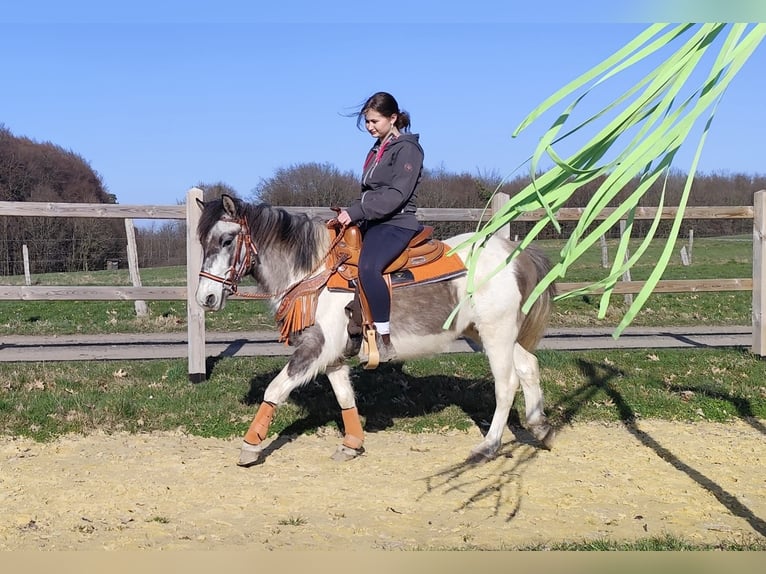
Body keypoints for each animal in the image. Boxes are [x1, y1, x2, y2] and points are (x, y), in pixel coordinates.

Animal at [194, 194, 557, 467]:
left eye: (226, 240)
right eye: (201, 241)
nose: (205, 298)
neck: (314, 271)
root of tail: (514, 252)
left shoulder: (316, 346)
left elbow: (275, 389)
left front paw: (250, 446)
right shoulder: (333, 355)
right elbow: (345, 398)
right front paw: (352, 444)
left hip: (496, 334)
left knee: (506, 385)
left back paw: (488, 447)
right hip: (491, 334)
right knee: (529, 367)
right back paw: (541, 428)